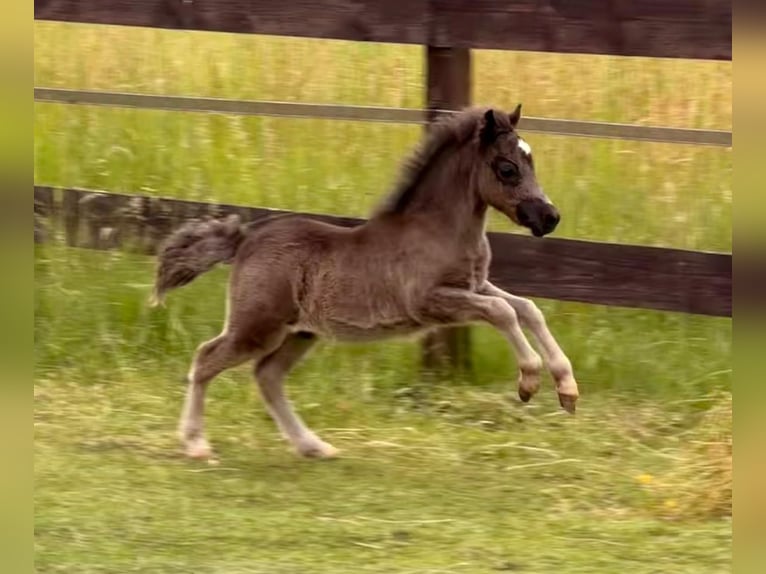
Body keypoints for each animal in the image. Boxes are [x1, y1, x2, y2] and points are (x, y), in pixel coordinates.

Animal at [151, 105, 580, 460]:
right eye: (507, 168)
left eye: (530, 160)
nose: (549, 217)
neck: (438, 230)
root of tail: (244, 239)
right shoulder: (431, 301)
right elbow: (503, 311)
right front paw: (529, 382)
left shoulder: (475, 286)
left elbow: (527, 308)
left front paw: (567, 389)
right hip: (257, 326)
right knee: (206, 359)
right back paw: (196, 445)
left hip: (300, 332)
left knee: (267, 376)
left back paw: (313, 447)